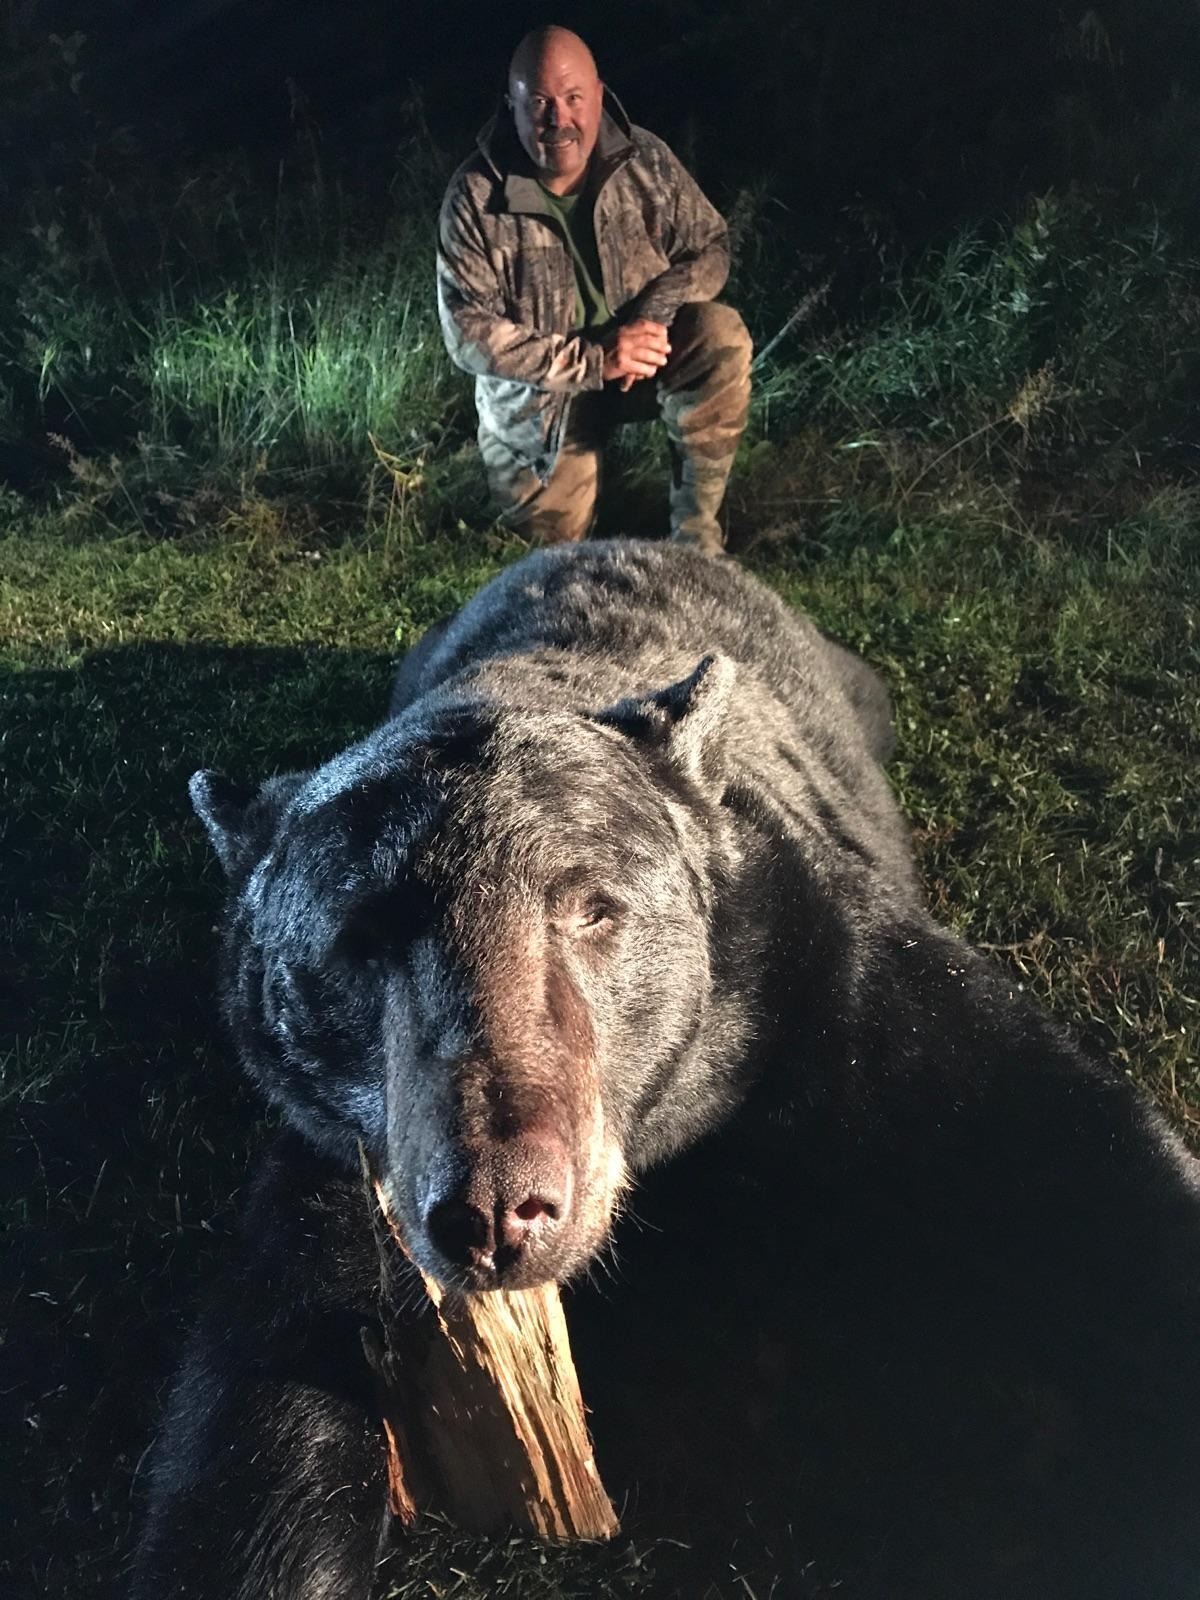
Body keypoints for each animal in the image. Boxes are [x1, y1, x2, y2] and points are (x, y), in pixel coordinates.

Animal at [130, 539, 1200, 1600]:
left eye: (593, 907)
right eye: (359, 939)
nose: (496, 1212)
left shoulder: (816, 955)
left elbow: (1068, 1138)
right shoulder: (351, 1155)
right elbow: (265, 1394)